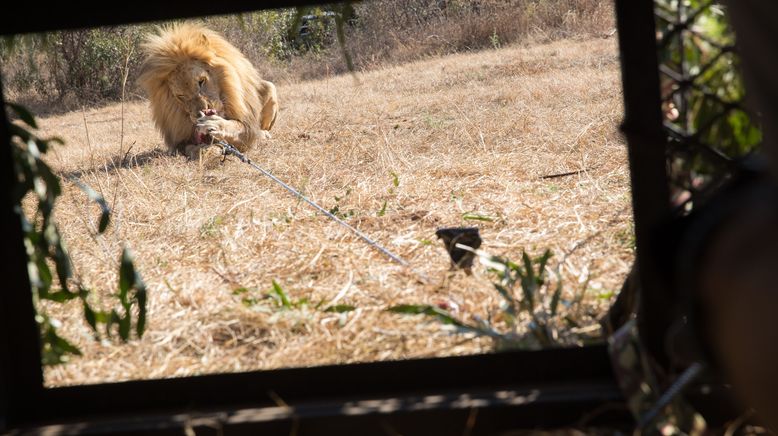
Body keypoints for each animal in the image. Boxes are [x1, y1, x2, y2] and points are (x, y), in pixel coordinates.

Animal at [138, 23, 278, 157]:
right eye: (180, 96)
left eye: (201, 81)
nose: (203, 112)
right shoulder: (179, 142)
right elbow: (190, 148)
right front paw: (204, 151)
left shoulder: (248, 128)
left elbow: (236, 127)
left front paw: (214, 124)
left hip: (270, 87)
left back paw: (264, 134)